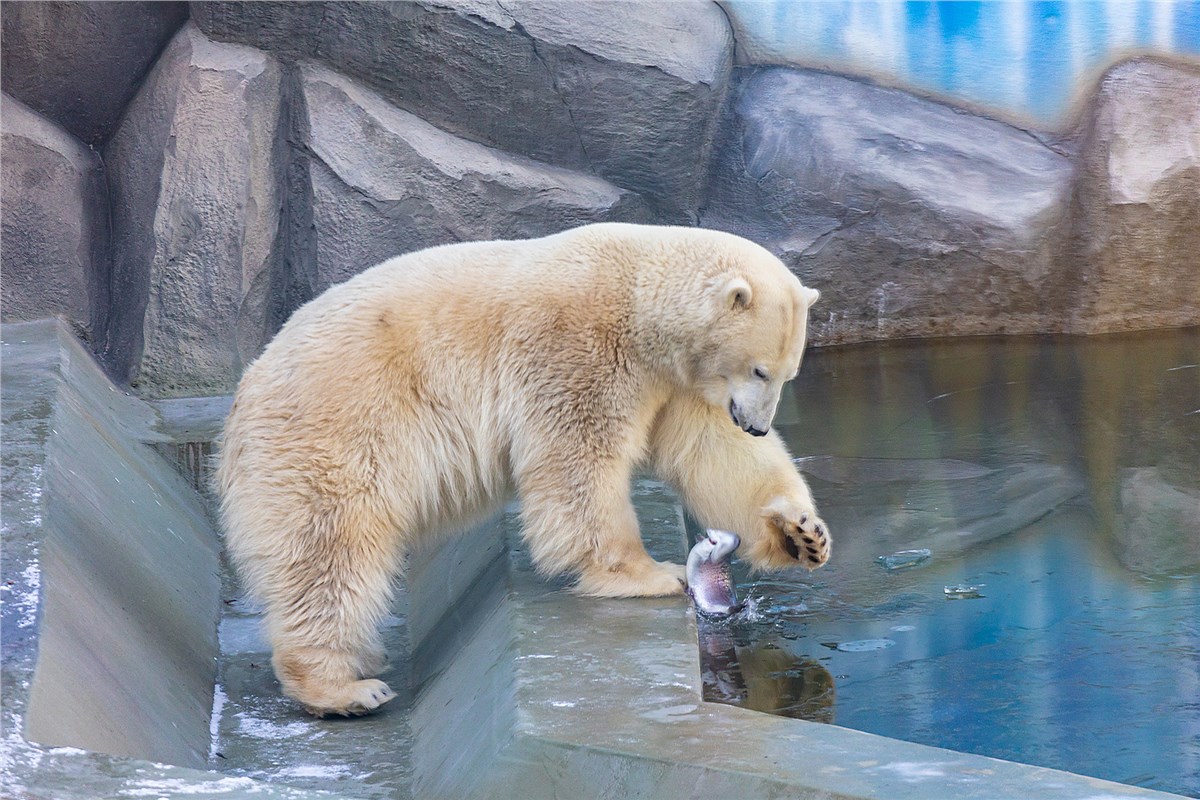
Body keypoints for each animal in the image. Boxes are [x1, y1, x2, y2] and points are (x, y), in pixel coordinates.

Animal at [218, 221, 825, 714]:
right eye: (760, 369)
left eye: (788, 372)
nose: (757, 425)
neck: (641, 299)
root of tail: (243, 399)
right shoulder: (578, 351)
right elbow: (578, 461)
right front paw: (653, 574)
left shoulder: (677, 383)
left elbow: (713, 452)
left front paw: (800, 533)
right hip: (337, 431)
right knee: (331, 548)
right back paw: (344, 689)